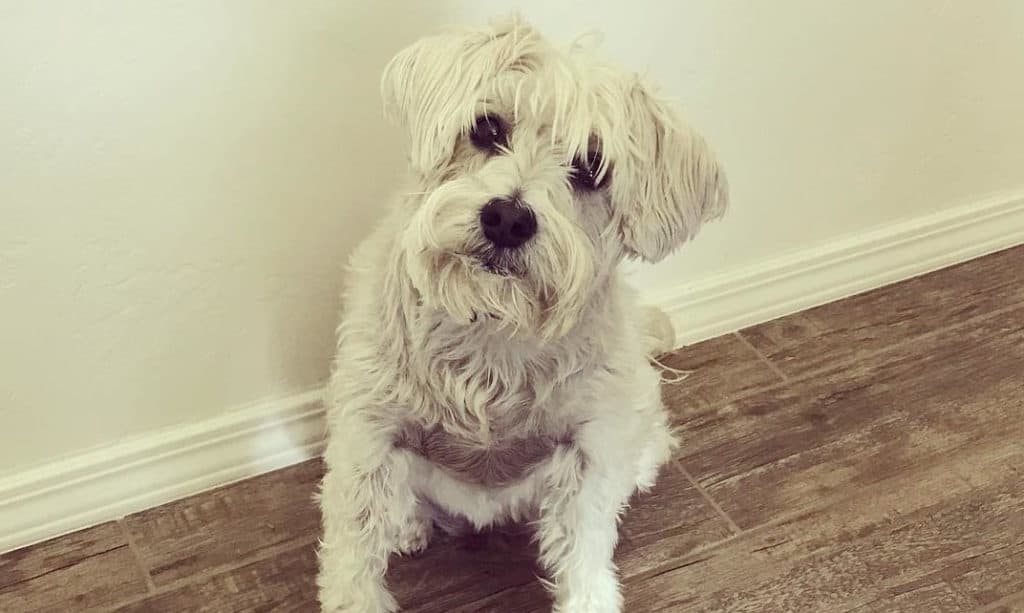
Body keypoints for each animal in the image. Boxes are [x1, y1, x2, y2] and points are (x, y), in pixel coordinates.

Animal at [319, 14, 729, 613]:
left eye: (592, 167)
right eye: (487, 128)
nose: (508, 219)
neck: (492, 328)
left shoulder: (588, 453)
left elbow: (585, 557)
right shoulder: (366, 440)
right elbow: (353, 563)